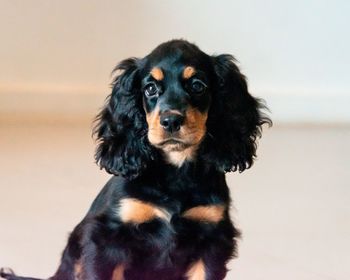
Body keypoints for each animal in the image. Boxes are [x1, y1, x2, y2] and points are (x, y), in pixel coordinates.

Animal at [0, 40, 270, 280]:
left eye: (197, 85)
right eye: (150, 88)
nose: (171, 121)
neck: (176, 172)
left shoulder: (212, 237)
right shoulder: (107, 236)